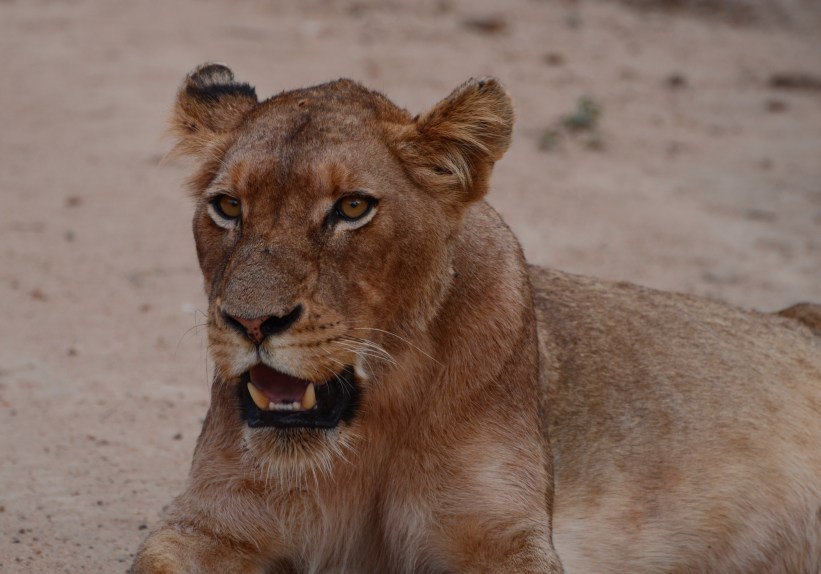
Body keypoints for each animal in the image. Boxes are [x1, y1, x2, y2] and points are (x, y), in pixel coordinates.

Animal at [132, 64, 821, 573]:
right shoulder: (214, 523)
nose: (251, 322)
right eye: (227, 207)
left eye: (352, 208)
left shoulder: (499, 533)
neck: (374, 421)